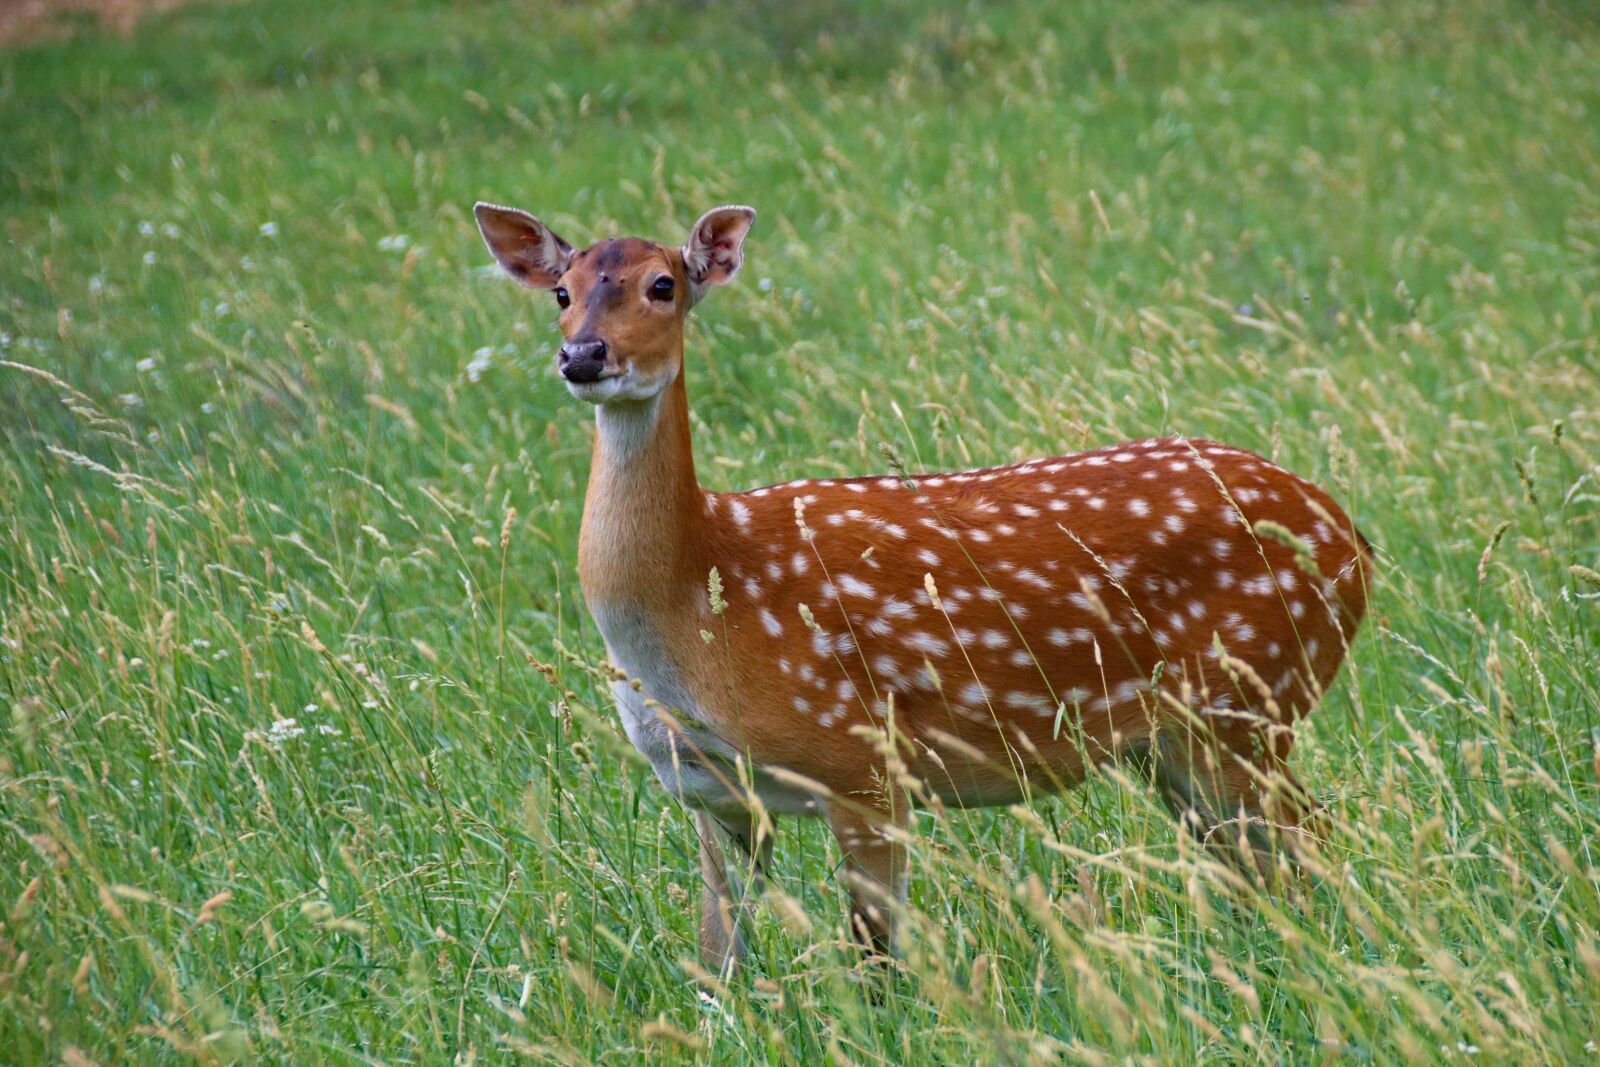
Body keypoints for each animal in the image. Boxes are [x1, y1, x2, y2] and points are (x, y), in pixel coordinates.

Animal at [473, 200, 1373, 974]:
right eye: (562, 291)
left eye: (664, 284)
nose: (584, 355)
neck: (699, 595)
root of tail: (1352, 539)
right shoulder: (711, 794)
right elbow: (716, 958)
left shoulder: (860, 756)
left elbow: (878, 955)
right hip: (1176, 743)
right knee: (1263, 864)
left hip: (1249, 697)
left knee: (1315, 842)